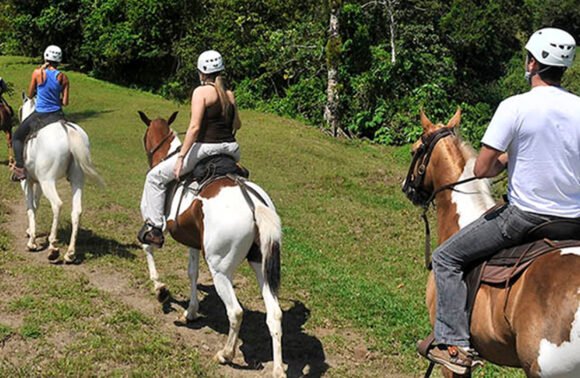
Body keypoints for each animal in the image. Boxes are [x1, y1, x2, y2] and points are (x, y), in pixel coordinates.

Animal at [18, 94, 103, 262]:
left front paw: (32, 241)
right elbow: (35, 205)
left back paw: (53, 248)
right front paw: (30, 232)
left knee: (57, 204)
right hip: (77, 180)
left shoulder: (27, 181)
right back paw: (70, 253)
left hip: (48, 181)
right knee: (76, 211)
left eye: (19, 110)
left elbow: (30, 207)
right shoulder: (37, 183)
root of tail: (66, 129)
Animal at [139, 110, 288, 376]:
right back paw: (279, 368)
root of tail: (253, 203)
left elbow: (148, 246)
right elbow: (192, 273)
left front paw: (160, 289)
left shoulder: (155, 224)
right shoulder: (193, 243)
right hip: (260, 264)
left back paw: (226, 354)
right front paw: (191, 311)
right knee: (275, 314)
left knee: (236, 312)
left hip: (220, 270)